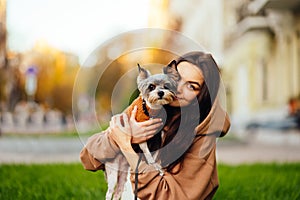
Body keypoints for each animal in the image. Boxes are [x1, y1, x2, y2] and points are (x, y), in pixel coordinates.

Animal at [105, 61, 178, 200]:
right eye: (151, 87)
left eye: (166, 86)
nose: (161, 92)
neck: (151, 111)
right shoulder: (142, 136)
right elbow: (148, 152)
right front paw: (153, 164)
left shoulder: (158, 136)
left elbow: (155, 153)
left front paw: (157, 167)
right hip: (113, 174)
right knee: (109, 193)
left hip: (123, 174)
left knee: (117, 193)